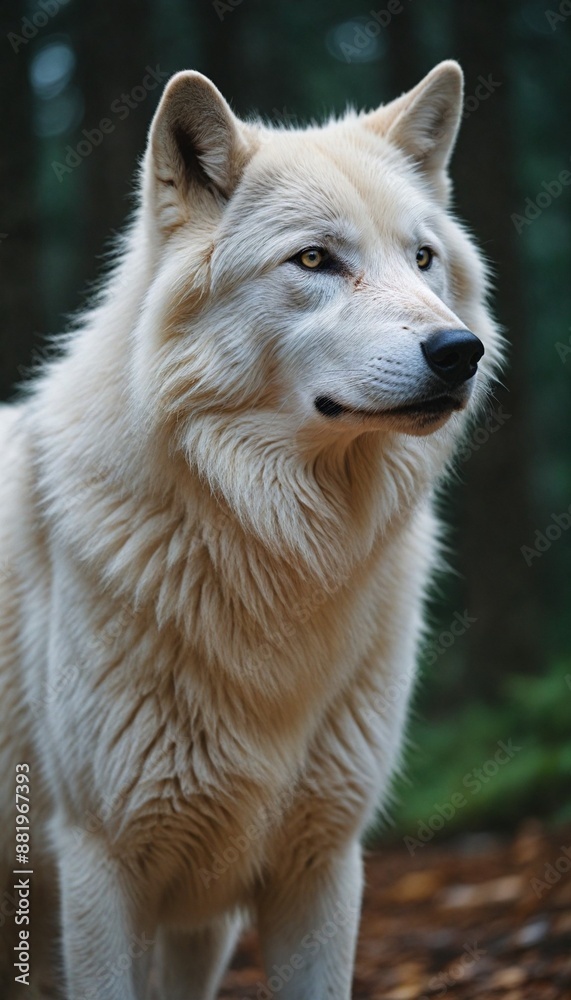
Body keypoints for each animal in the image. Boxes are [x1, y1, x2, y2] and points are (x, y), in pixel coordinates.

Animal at [0, 61, 502, 998]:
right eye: (314, 259)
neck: (273, 548)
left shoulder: (320, 866)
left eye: (421, 258)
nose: (460, 352)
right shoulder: (99, 865)